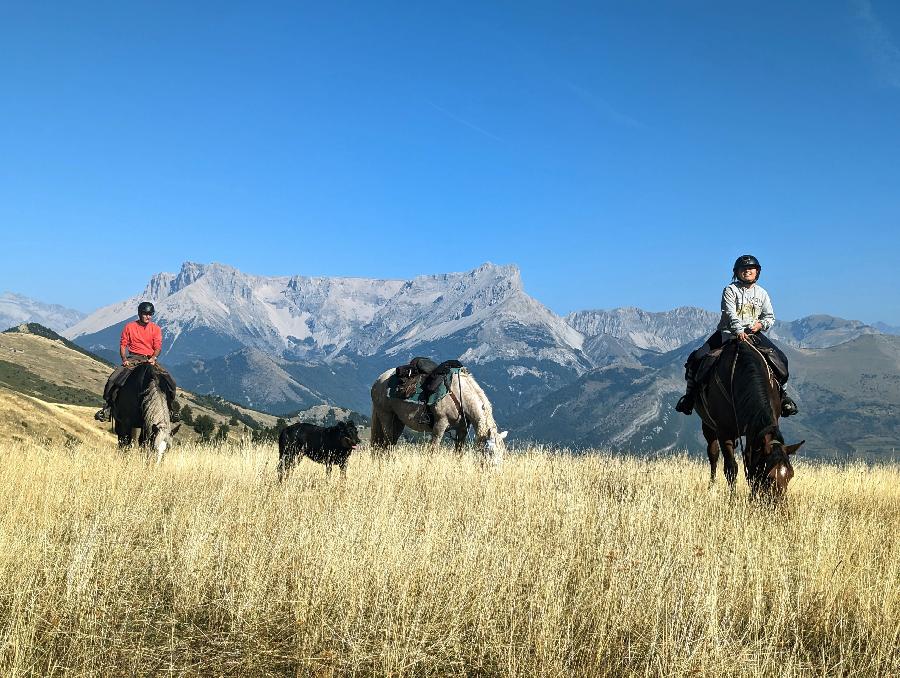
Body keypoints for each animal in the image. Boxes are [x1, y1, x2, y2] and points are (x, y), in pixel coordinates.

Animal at [368, 366, 506, 468]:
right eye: (491, 451)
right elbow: (433, 450)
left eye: (502, 452)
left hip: (398, 421)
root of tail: (379, 380)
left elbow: (458, 453)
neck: (459, 395)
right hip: (385, 416)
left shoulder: (462, 430)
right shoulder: (440, 425)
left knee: (389, 444)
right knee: (388, 444)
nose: (496, 471)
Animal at [692, 338, 804, 502]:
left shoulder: (755, 430)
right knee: (713, 455)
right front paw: (732, 499)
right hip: (708, 426)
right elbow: (731, 468)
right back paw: (711, 487)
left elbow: (750, 460)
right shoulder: (724, 432)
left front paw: (752, 495)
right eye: (769, 477)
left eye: (791, 475)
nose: (779, 505)